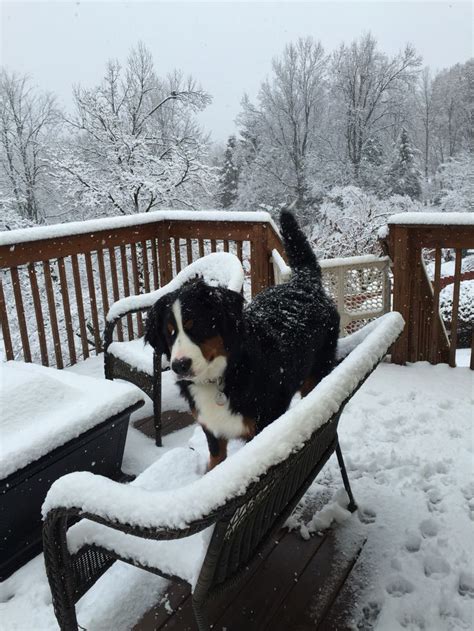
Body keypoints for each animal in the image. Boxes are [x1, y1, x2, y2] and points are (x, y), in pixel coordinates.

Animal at [145, 210, 340, 472]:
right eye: (169, 333)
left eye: (196, 325)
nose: (179, 365)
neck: (224, 374)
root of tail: (303, 283)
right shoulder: (213, 430)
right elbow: (216, 460)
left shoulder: (262, 425)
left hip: (315, 376)